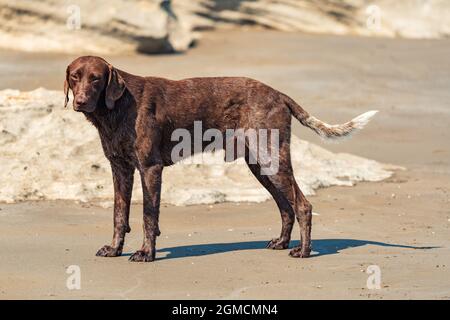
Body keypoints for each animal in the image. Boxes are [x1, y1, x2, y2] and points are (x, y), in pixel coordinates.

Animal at [65, 55, 378, 262]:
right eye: (74, 77)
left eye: (96, 78)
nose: (80, 101)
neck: (117, 107)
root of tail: (278, 94)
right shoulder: (120, 170)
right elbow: (119, 216)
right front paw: (115, 249)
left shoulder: (150, 169)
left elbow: (148, 217)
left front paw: (146, 253)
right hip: (261, 167)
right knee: (286, 208)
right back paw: (281, 242)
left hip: (272, 160)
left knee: (302, 205)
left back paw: (304, 251)